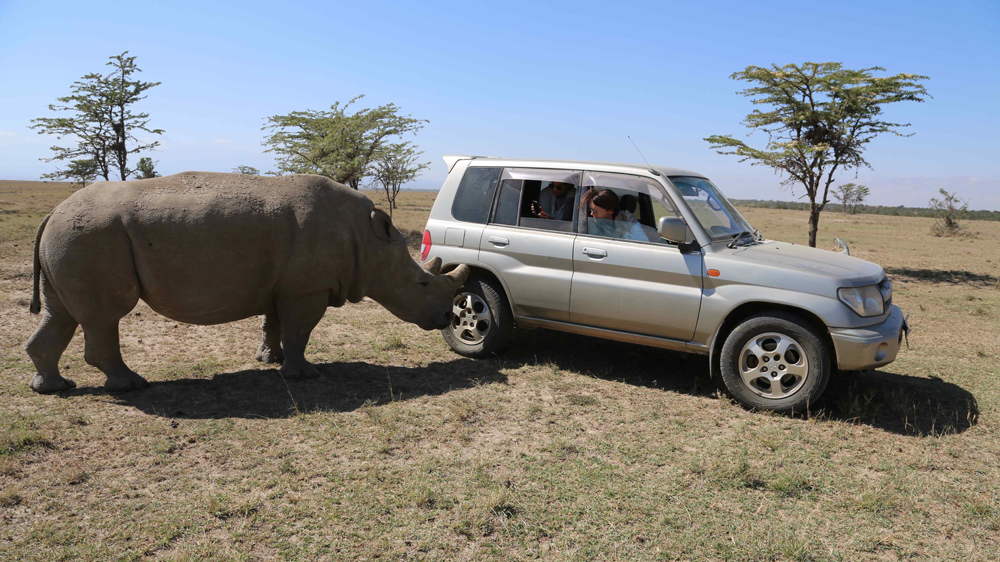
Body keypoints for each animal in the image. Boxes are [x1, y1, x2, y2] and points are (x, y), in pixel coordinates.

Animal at [25, 172, 469, 393]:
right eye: (421, 283)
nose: (447, 317)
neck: (369, 239)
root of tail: (51, 212)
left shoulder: (285, 285)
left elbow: (275, 325)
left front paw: (269, 360)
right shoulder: (306, 289)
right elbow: (300, 331)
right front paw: (304, 375)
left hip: (70, 237)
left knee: (61, 313)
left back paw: (54, 387)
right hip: (90, 236)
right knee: (104, 315)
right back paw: (131, 386)